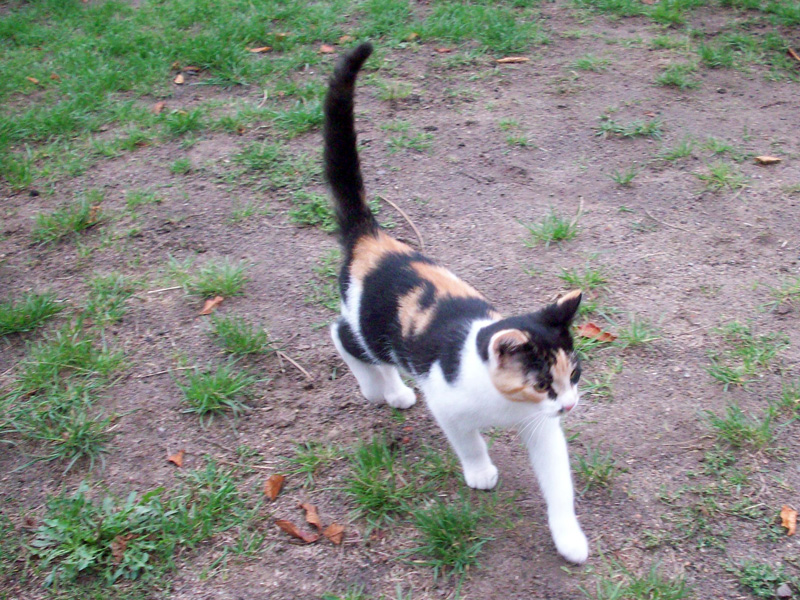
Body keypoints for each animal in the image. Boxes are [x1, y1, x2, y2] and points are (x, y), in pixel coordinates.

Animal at [323, 42, 588, 564]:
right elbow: (467, 440)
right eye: (543, 383)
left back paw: (393, 390)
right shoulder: (447, 404)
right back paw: (379, 388)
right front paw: (480, 471)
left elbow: (559, 483)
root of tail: (372, 237)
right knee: (341, 335)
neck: (504, 406)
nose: (569, 405)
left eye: (575, 375)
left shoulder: (542, 428)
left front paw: (569, 538)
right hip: (371, 328)